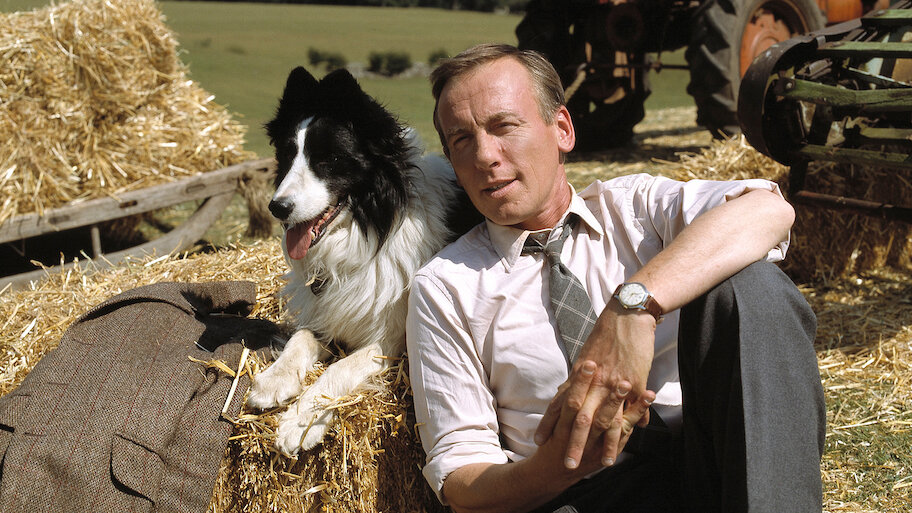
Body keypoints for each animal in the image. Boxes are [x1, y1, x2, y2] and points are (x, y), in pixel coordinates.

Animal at [246, 66, 481, 456]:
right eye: (287, 156)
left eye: (328, 160)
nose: (277, 208)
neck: (371, 231)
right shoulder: (328, 314)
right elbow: (301, 339)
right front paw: (273, 380)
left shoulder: (390, 342)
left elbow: (339, 369)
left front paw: (300, 422)